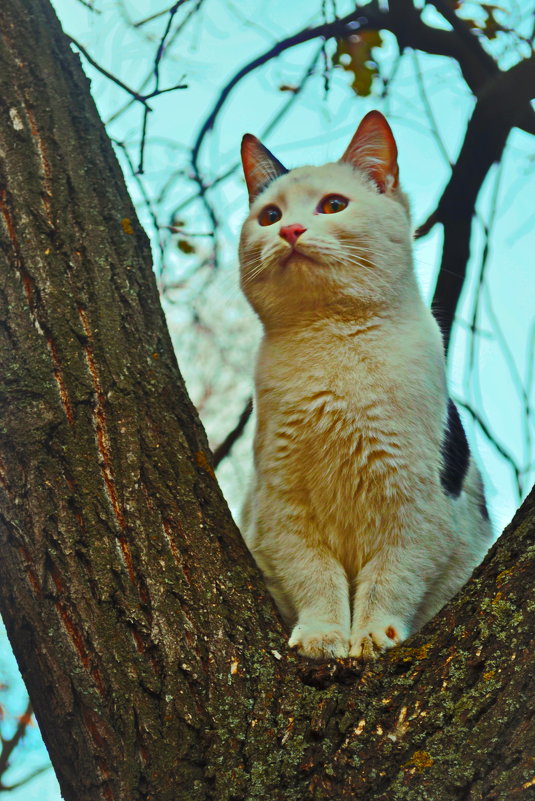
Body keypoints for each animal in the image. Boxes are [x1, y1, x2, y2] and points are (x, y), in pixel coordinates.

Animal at [239, 112, 494, 664]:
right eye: (269, 215)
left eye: (333, 206)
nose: (289, 229)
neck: (331, 342)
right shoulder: (283, 505)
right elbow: (314, 575)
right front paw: (323, 634)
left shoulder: (417, 506)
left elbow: (390, 579)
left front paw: (373, 635)